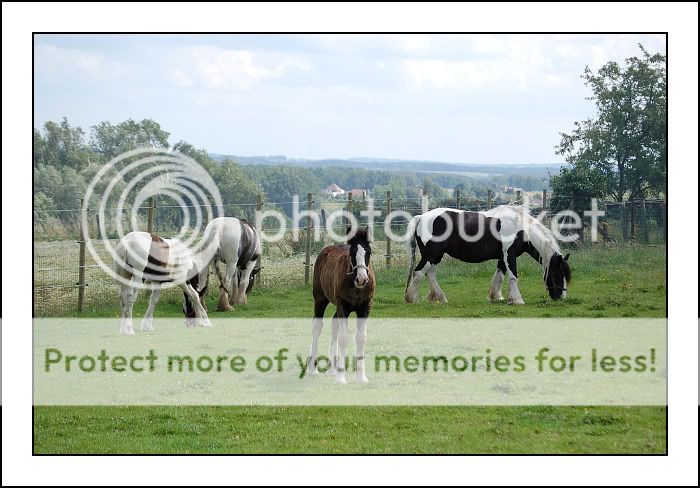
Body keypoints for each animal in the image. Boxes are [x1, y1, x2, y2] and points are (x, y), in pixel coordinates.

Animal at [304, 227, 374, 384]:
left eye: (369, 252)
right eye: (351, 253)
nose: (362, 279)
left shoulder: (365, 308)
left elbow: (361, 338)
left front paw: (361, 377)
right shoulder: (343, 306)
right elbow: (343, 338)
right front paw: (341, 378)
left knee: (334, 325)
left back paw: (332, 369)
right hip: (320, 300)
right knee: (317, 326)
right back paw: (313, 369)